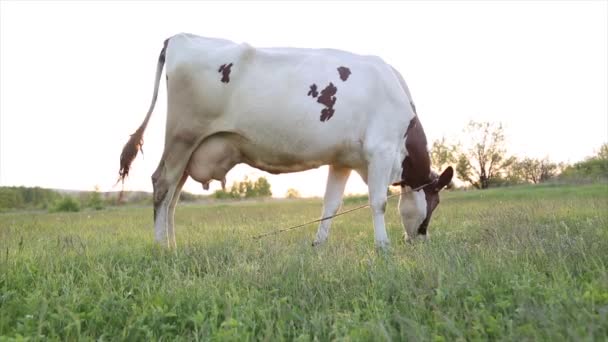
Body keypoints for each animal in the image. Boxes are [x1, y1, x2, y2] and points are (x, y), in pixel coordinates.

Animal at [119, 34, 452, 248]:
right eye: (435, 203)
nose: (422, 240)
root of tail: (180, 37)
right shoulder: (380, 150)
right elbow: (379, 201)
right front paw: (383, 246)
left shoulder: (342, 160)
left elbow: (331, 204)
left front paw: (318, 244)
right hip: (182, 137)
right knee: (162, 184)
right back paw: (161, 247)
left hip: (190, 150)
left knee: (173, 196)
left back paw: (173, 245)